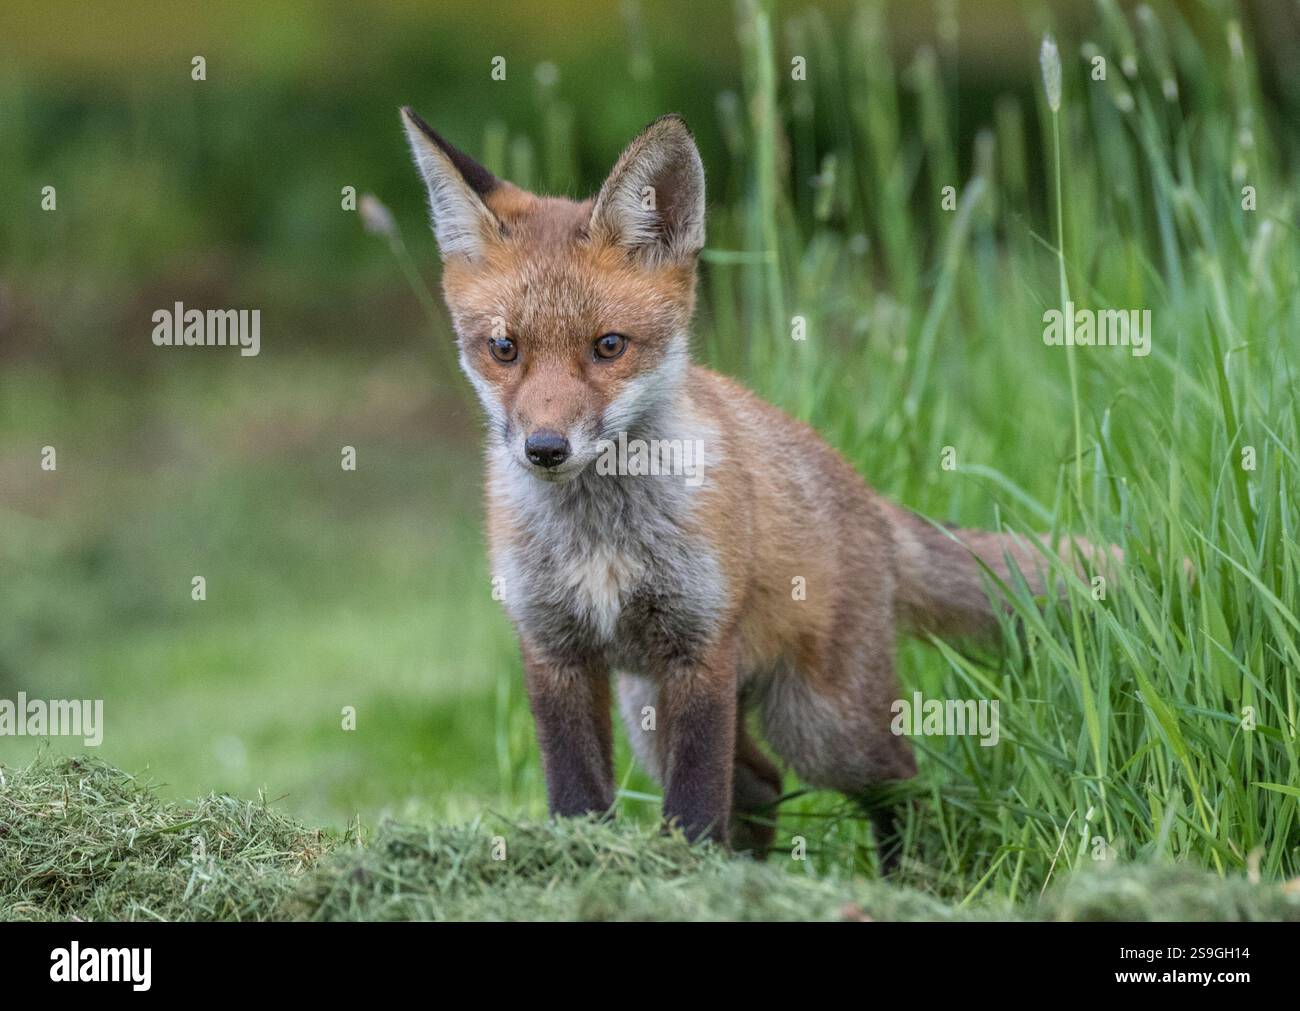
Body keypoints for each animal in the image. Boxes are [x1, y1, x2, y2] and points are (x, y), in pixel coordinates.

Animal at [401, 107, 1103, 856]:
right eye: (504, 349)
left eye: (608, 346)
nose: (545, 448)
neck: (603, 536)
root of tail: (865, 493)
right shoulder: (553, 646)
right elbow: (577, 794)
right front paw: (587, 859)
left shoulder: (701, 644)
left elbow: (697, 800)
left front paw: (685, 865)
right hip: (648, 708)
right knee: (764, 784)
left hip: (823, 727)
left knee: (906, 783)